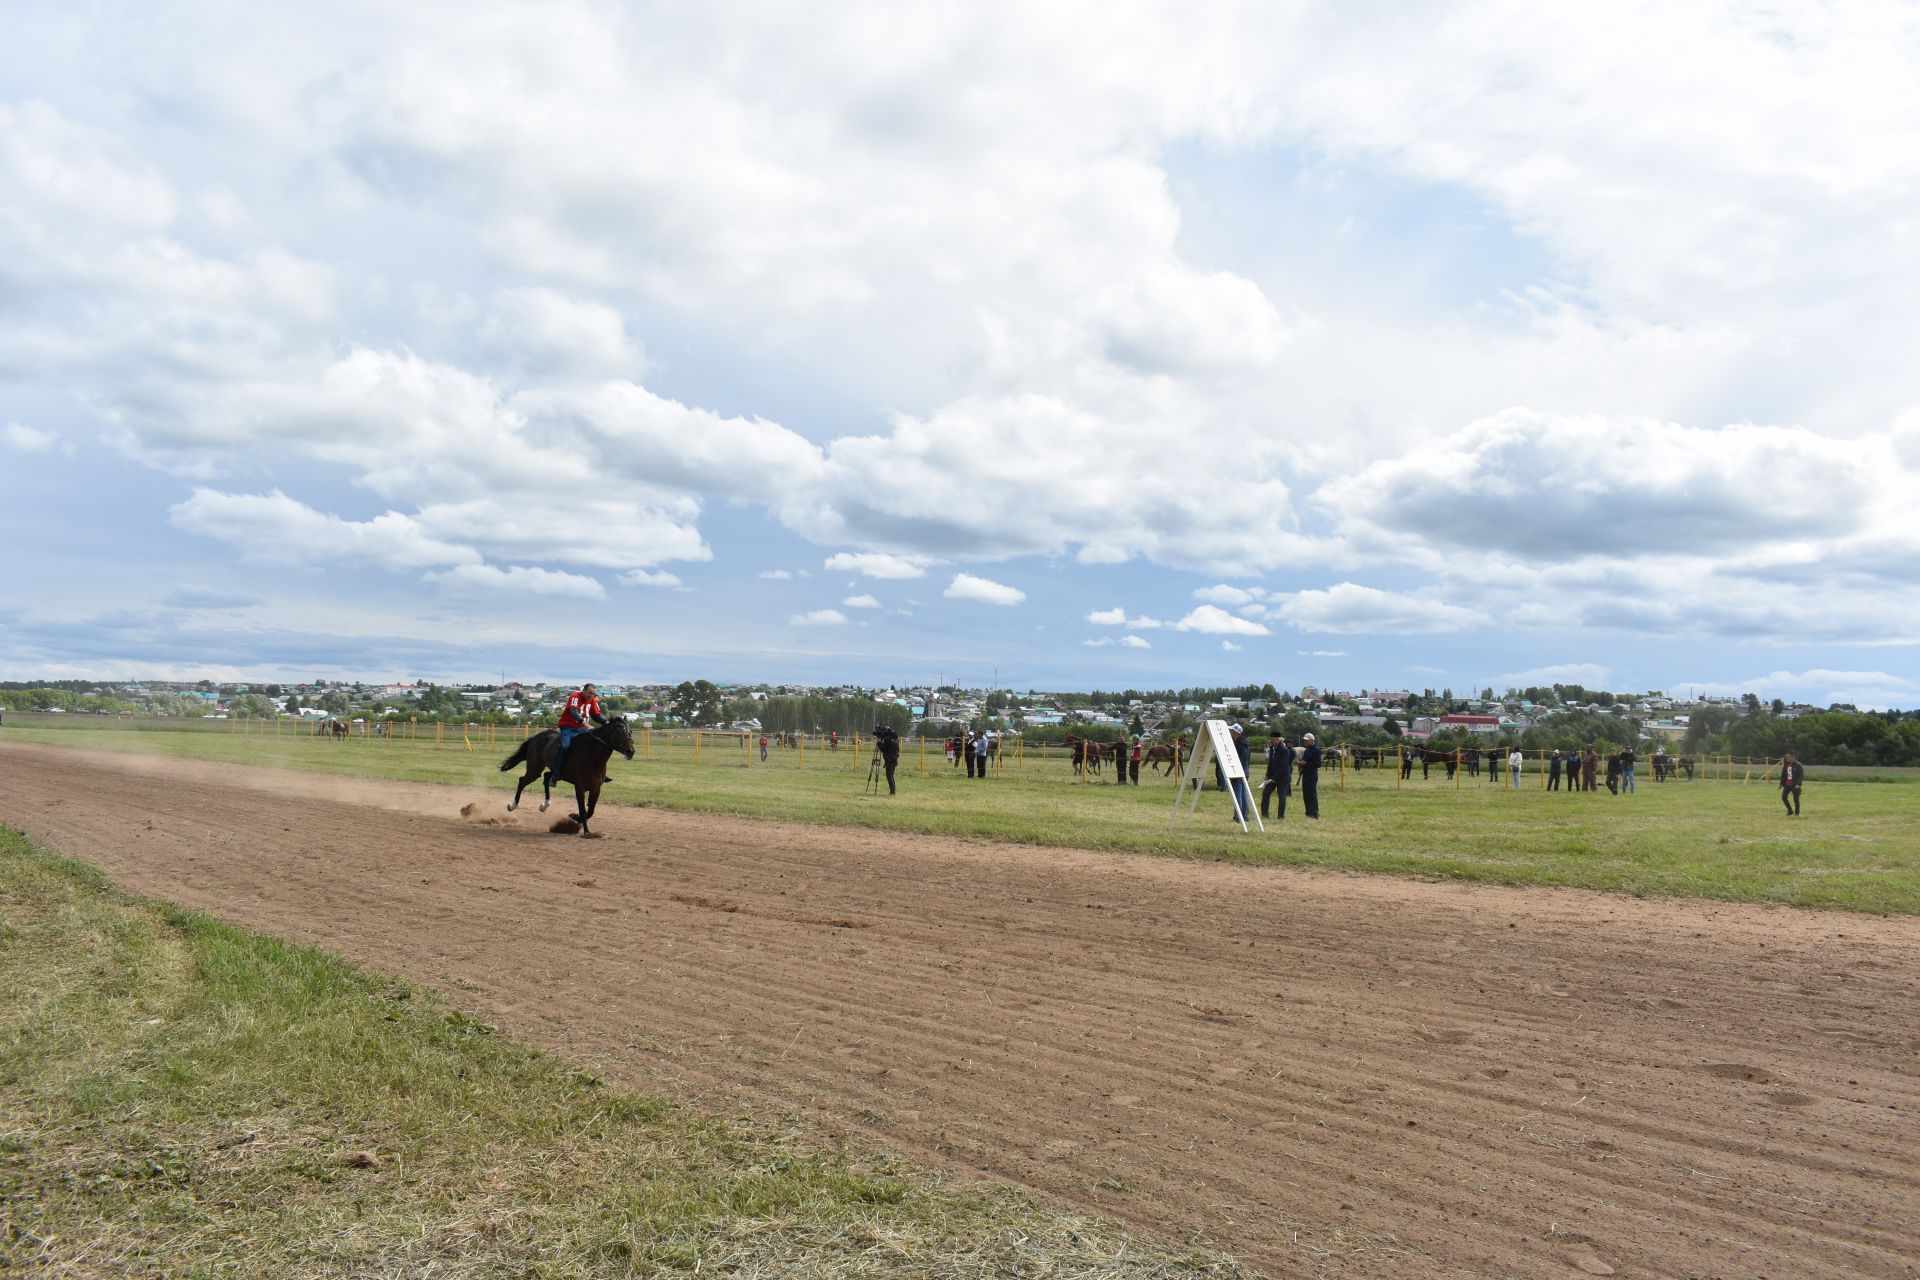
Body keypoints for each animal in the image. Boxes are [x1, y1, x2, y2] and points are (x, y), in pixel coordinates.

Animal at [499, 717, 633, 836]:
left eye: (630, 731)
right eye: (619, 731)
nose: (631, 751)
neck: (592, 754)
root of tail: (536, 737)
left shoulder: (596, 788)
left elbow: (591, 811)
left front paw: (575, 817)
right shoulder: (579, 787)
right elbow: (583, 811)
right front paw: (587, 832)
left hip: (555, 772)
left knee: (546, 778)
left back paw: (545, 805)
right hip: (534, 769)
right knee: (522, 781)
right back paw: (512, 805)